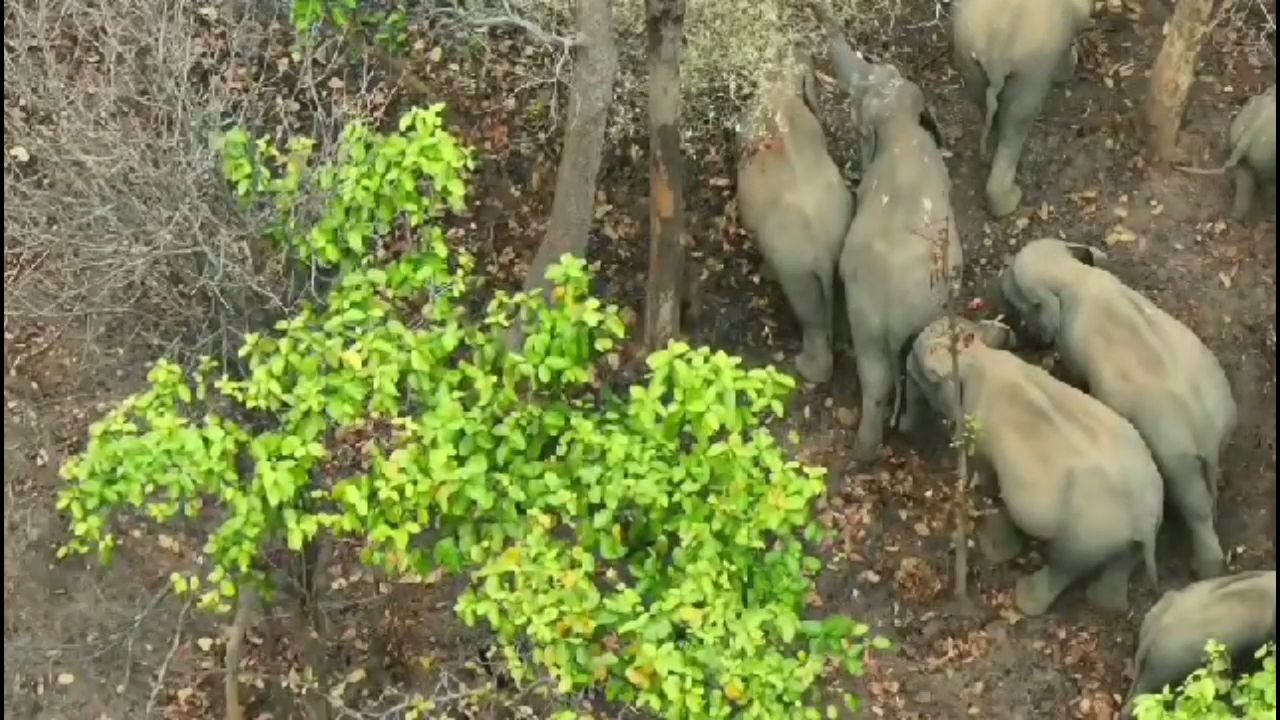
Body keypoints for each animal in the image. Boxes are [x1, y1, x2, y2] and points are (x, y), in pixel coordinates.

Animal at [907, 317, 1163, 616]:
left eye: (921, 373)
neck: (978, 355)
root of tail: (1144, 519)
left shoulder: (980, 436)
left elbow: (987, 481)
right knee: (1122, 558)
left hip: (1090, 529)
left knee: (1066, 562)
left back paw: (1026, 600)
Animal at [951, 0, 1093, 217]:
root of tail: (995, 56)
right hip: (1031, 66)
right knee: (1018, 118)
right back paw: (1011, 200)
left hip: (967, 57)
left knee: (985, 105)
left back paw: (989, 155)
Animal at [999, 238, 1237, 579]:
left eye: (1014, 284)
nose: (1000, 272)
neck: (1076, 274)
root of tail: (1208, 433)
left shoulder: (1071, 342)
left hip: (1174, 453)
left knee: (1194, 501)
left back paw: (1205, 568)